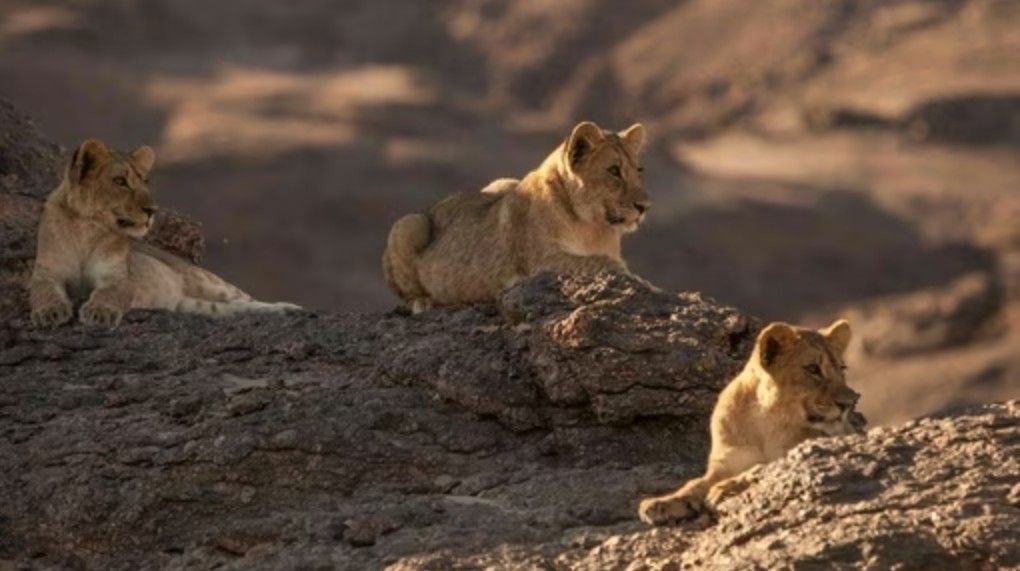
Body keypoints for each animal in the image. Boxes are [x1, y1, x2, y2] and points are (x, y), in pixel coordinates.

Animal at [28, 139, 300, 328]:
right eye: (120, 181)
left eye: (145, 181)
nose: (152, 210)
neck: (87, 230)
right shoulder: (46, 270)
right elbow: (43, 290)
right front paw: (50, 312)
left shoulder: (119, 276)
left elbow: (109, 291)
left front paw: (99, 312)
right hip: (191, 306)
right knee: (231, 308)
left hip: (204, 280)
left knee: (245, 298)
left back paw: (290, 308)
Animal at [382, 121, 651, 312]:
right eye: (614, 170)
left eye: (639, 170)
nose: (644, 206)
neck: (594, 228)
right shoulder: (540, 262)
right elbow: (603, 263)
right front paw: (643, 283)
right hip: (407, 224)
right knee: (408, 295)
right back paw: (424, 303)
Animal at [638, 319, 865, 525]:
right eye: (813, 369)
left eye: (842, 368)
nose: (851, 402)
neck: (767, 423)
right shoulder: (725, 464)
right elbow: (694, 484)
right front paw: (660, 503)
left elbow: (761, 468)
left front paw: (724, 489)